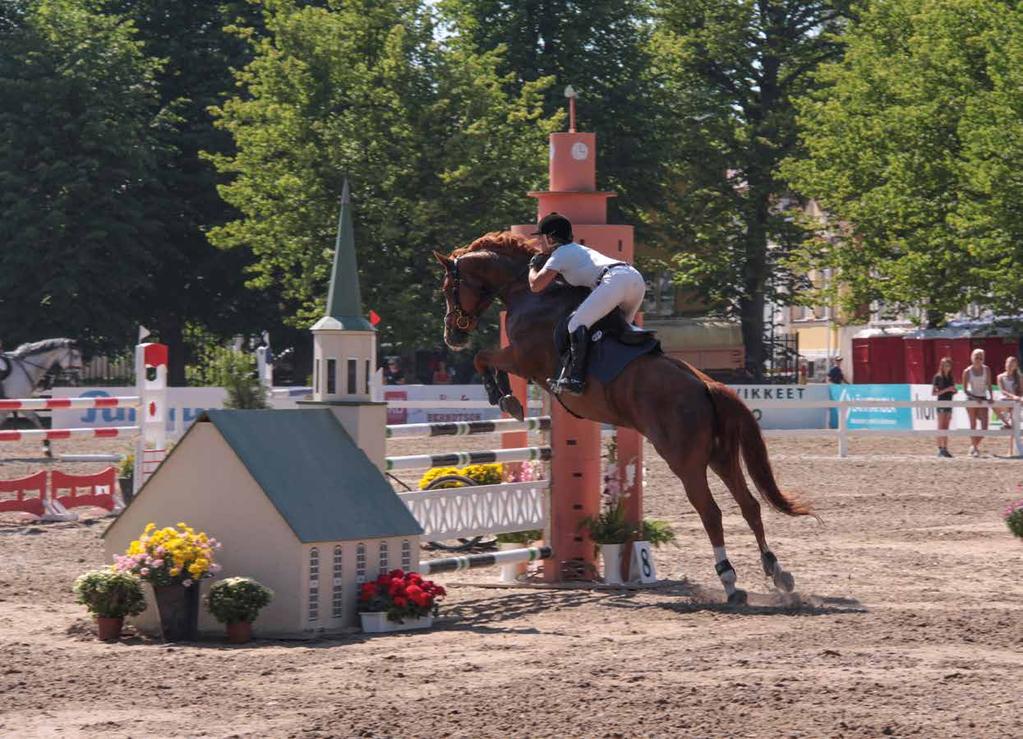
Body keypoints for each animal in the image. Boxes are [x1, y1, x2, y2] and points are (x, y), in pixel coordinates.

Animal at [435, 231, 810, 605]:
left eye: (448, 288)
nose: (452, 335)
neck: (528, 292)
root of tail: (709, 387)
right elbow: (486, 360)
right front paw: (506, 397)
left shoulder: (522, 358)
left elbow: (483, 358)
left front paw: (505, 398)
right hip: (722, 457)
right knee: (750, 505)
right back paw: (778, 573)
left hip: (685, 461)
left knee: (712, 512)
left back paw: (730, 582)